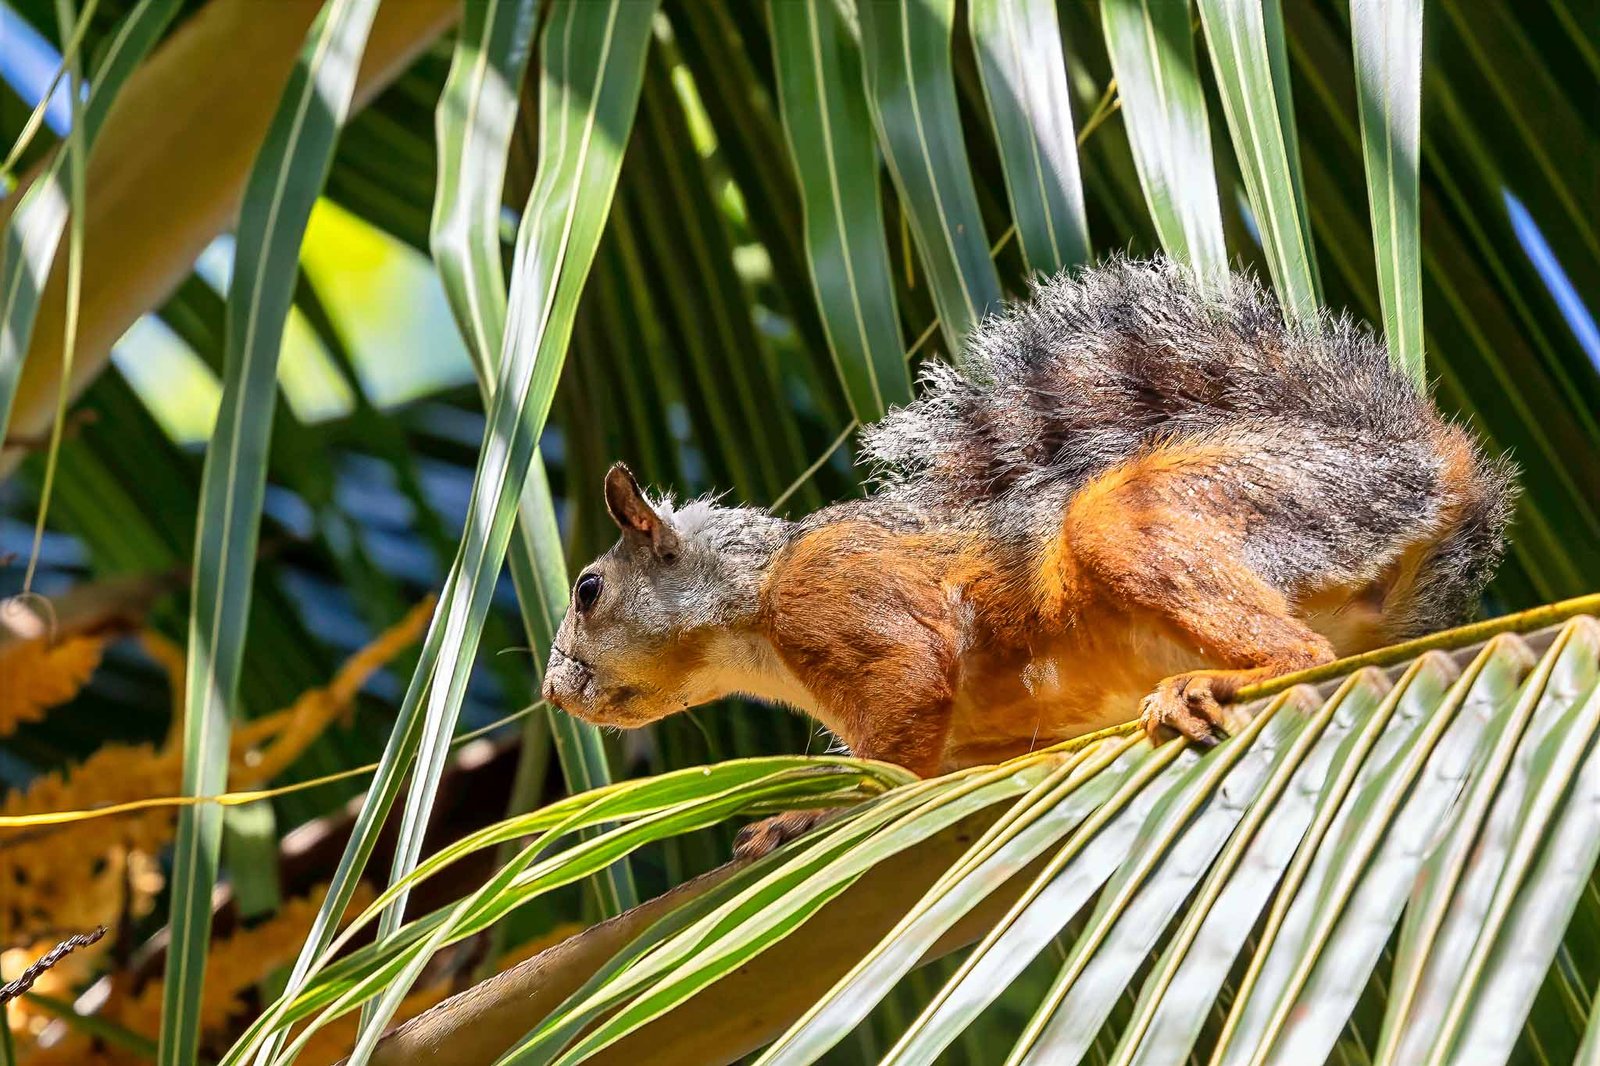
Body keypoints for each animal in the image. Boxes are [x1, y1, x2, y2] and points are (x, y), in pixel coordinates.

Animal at [542, 257, 1514, 858]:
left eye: (588, 590)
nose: (554, 692)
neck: (753, 601)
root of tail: (1425, 470)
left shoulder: (843, 594)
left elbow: (905, 708)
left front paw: (811, 815)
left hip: (1173, 513)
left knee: (1297, 650)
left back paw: (1216, 682)